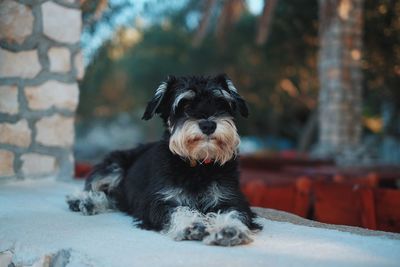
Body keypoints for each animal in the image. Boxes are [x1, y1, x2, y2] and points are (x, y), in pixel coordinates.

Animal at [68, 75, 262, 247]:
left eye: (220, 103)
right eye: (185, 104)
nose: (208, 125)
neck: (197, 166)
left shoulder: (232, 199)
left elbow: (235, 213)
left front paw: (229, 229)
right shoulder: (157, 201)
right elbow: (177, 210)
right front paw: (191, 224)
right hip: (114, 167)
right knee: (95, 188)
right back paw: (83, 201)